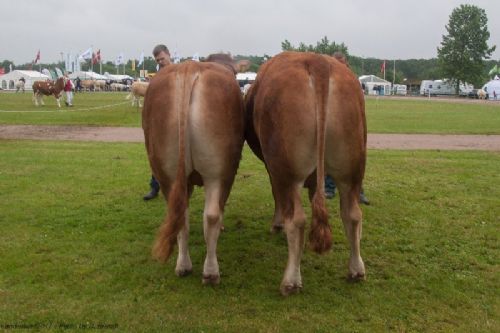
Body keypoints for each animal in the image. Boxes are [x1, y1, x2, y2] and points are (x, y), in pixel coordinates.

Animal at [144, 55, 245, 284]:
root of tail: (189, 67)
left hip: (167, 174)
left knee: (180, 216)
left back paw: (183, 266)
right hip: (219, 173)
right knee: (212, 215)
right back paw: (211, 272)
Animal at [246, 50, 368, 294]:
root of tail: (317, 61)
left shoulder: (273, 169)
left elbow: (277, 197)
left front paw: (277, 224)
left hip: (286, 170)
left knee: (296, 220)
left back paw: (291, 281)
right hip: (351, 168)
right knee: (352, 214)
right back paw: (356, 270)